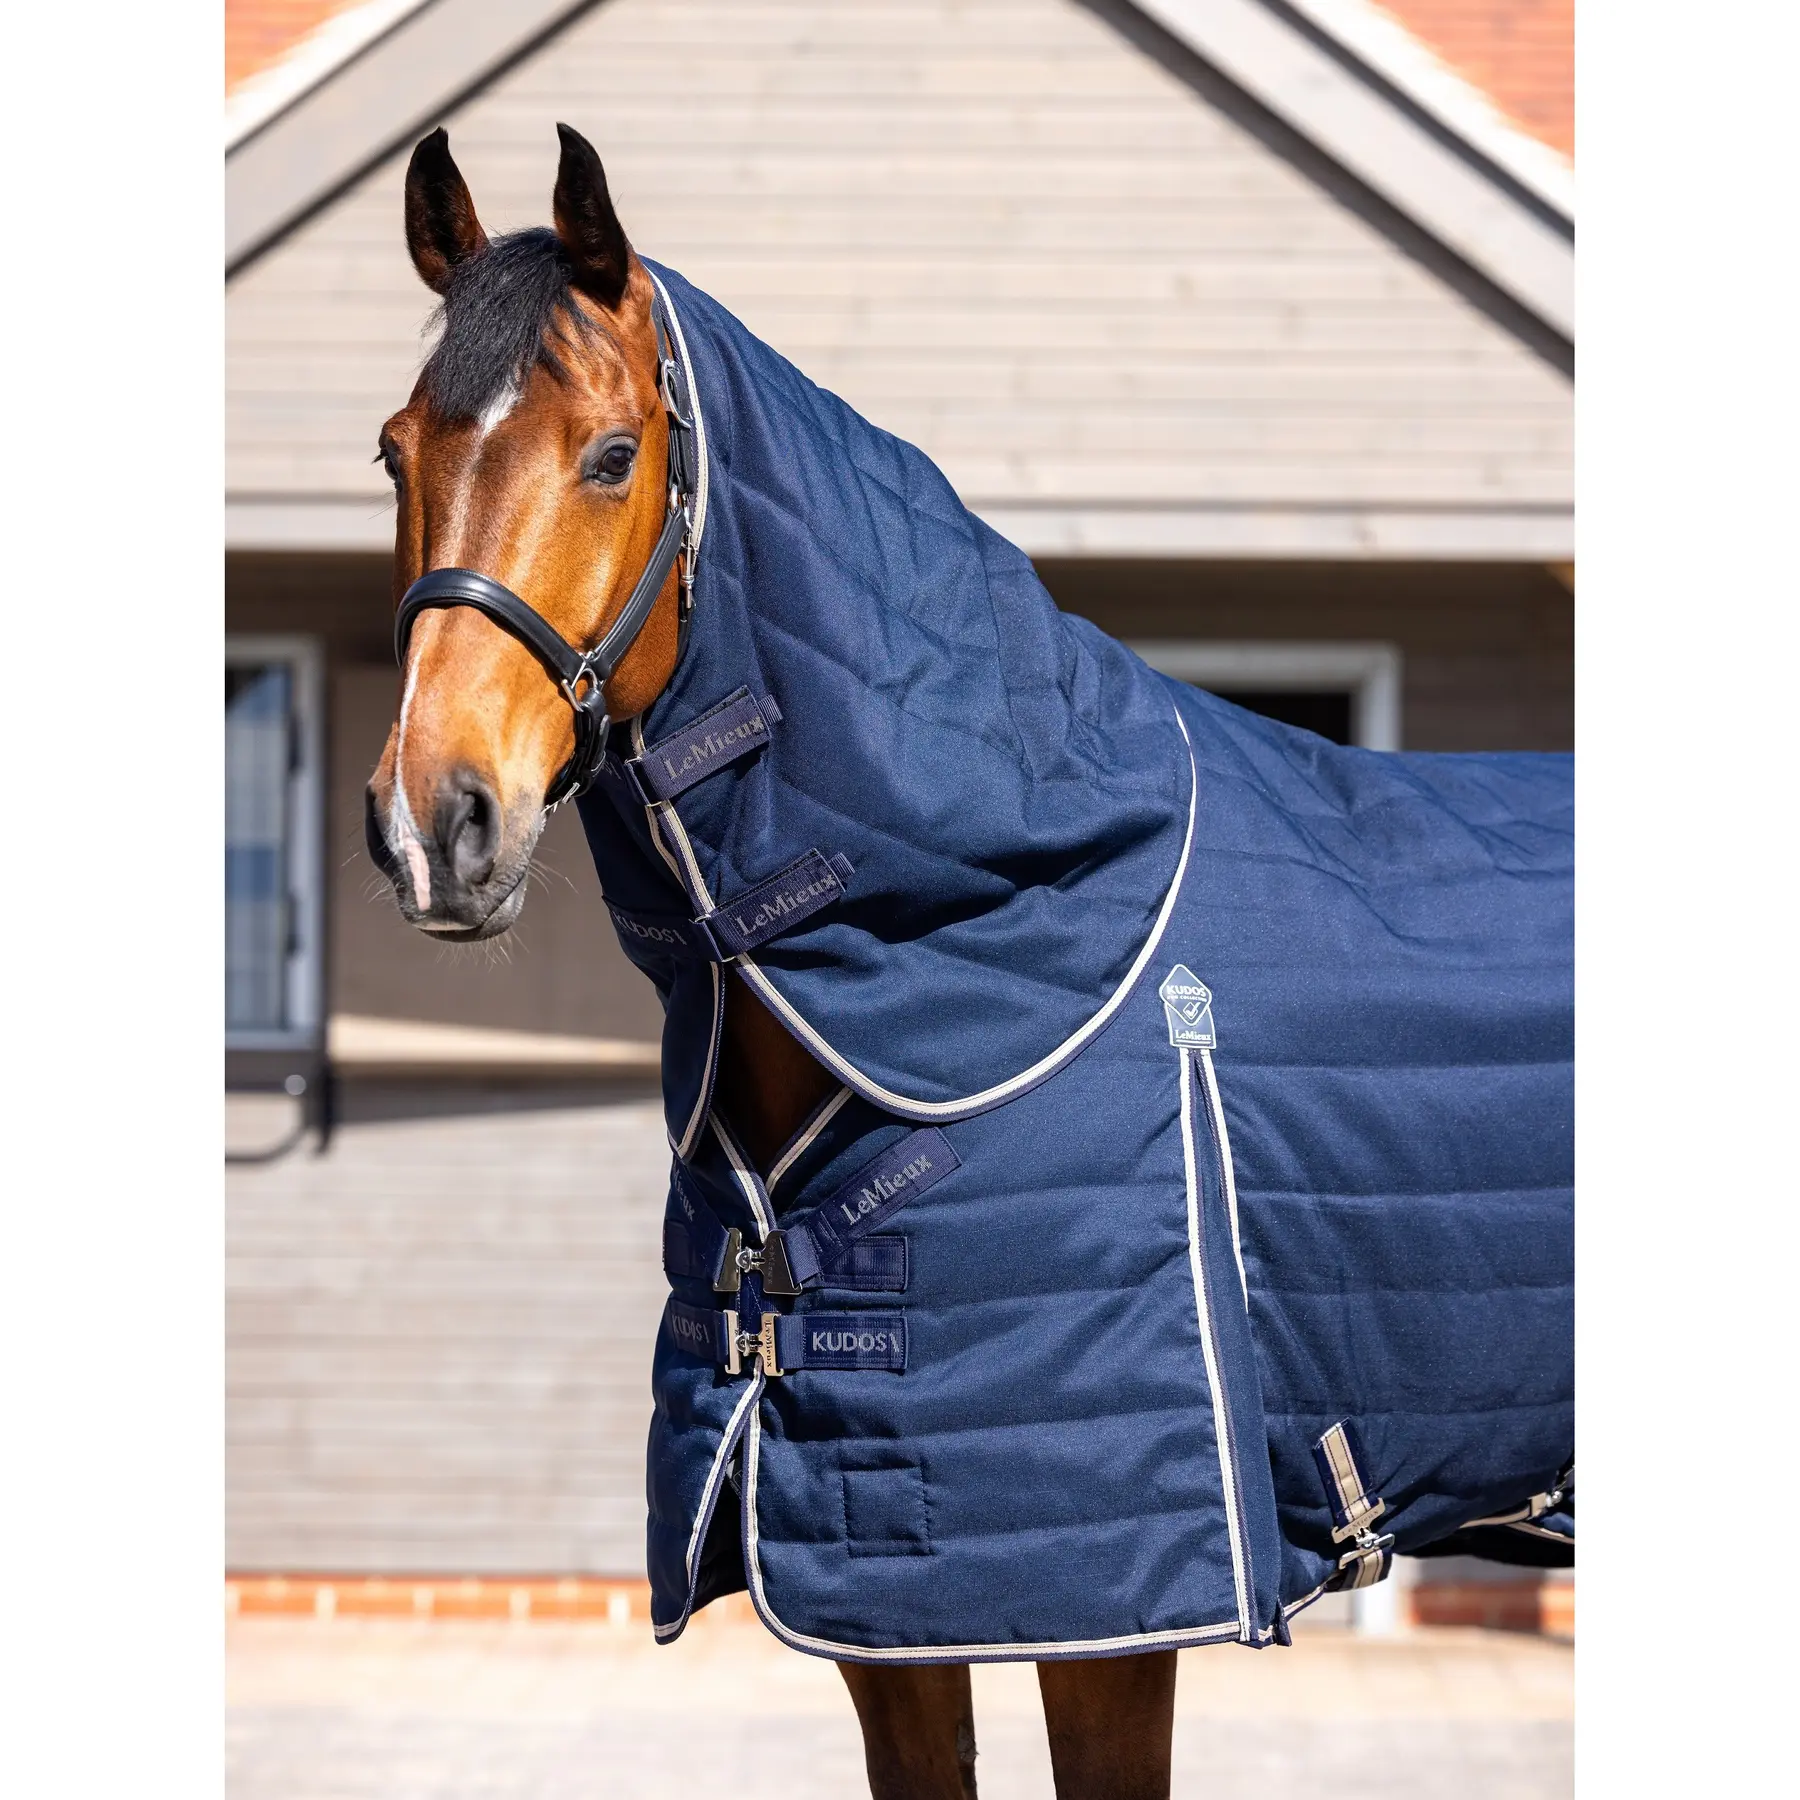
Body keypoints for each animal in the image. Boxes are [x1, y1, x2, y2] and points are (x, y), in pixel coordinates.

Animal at [365, 124, 1572, 1800]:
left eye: (611, 456)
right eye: (393, 456)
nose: (435, 821)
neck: (1016, 922)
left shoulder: (1105, 1615)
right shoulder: (882, 1608)